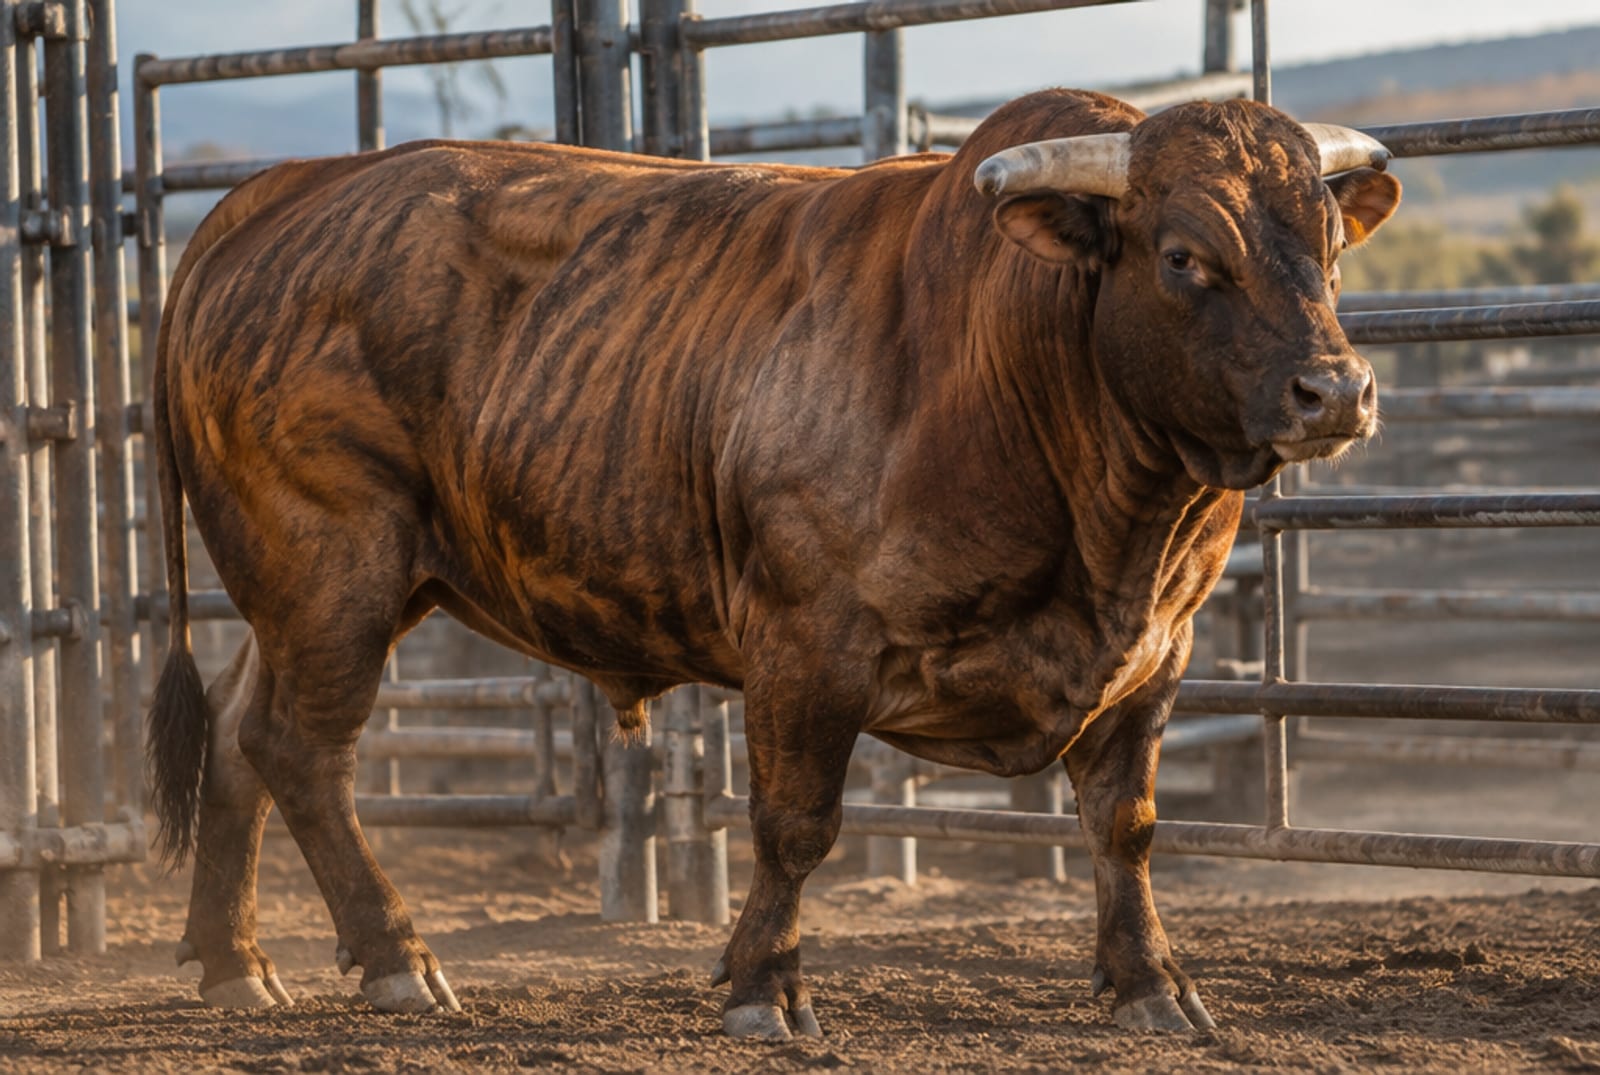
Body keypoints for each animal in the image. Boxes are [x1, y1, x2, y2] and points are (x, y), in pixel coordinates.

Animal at [147, 87, 1400, 1039]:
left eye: (1330, 250)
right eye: (1185, 256)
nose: (1334, 391)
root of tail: (284, 191)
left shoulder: (1155, 653)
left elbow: (1124, 824)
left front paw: (1151, 982)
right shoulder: (808, 642)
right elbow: (796, 825)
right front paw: (763, 984)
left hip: (310, 589)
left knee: (241, 730)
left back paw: (235, 961)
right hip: (332, 564)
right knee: (303, 750)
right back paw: (397, 955)